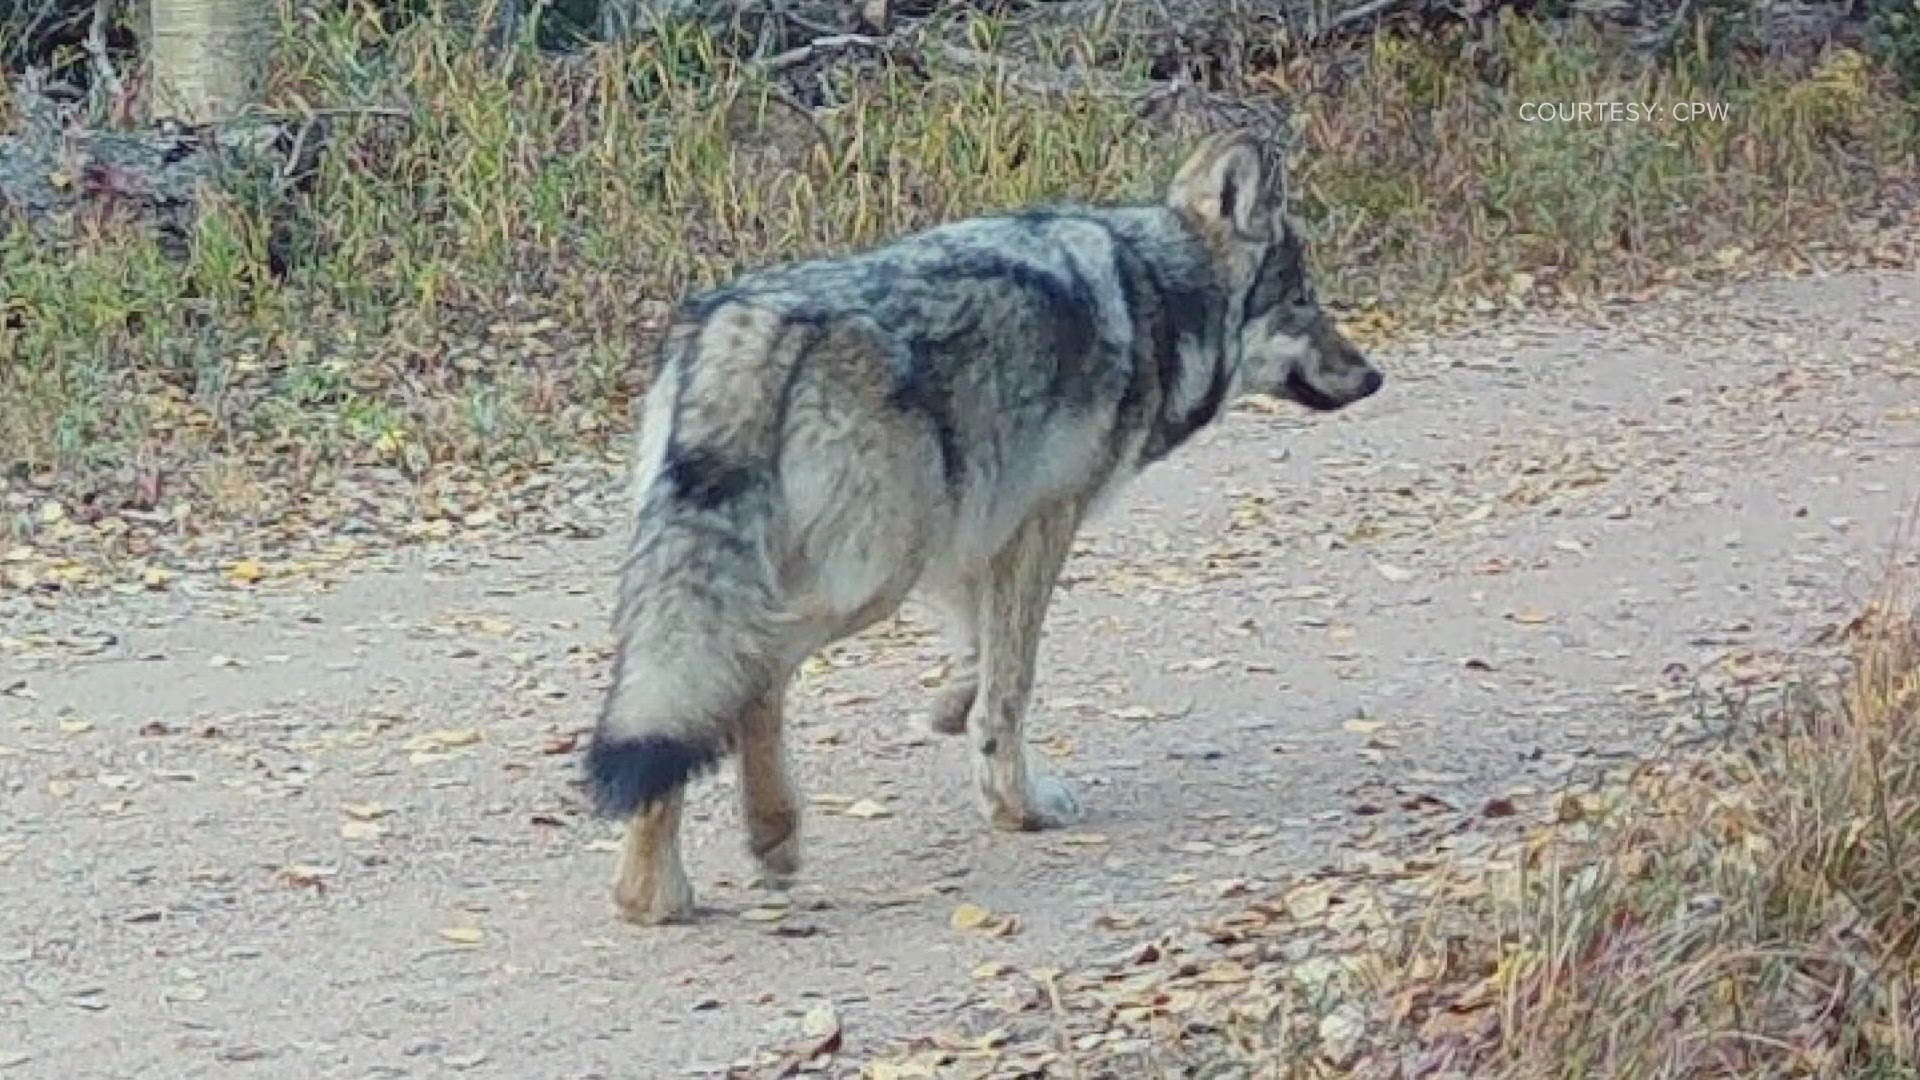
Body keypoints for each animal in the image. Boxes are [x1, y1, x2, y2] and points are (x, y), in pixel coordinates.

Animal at [583, 125, 1382, 914]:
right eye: (1302, 301)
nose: (1374, 375)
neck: (1156, 293)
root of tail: (746, 323)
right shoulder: (1041, 522)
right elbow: (1010, 685)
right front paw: (1018, 807)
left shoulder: (973, 542)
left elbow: (980, 657)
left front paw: (946, 713)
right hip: (872, 581)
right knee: (751, 676)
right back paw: (765, 836)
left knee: (685, 706)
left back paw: (652, 892)